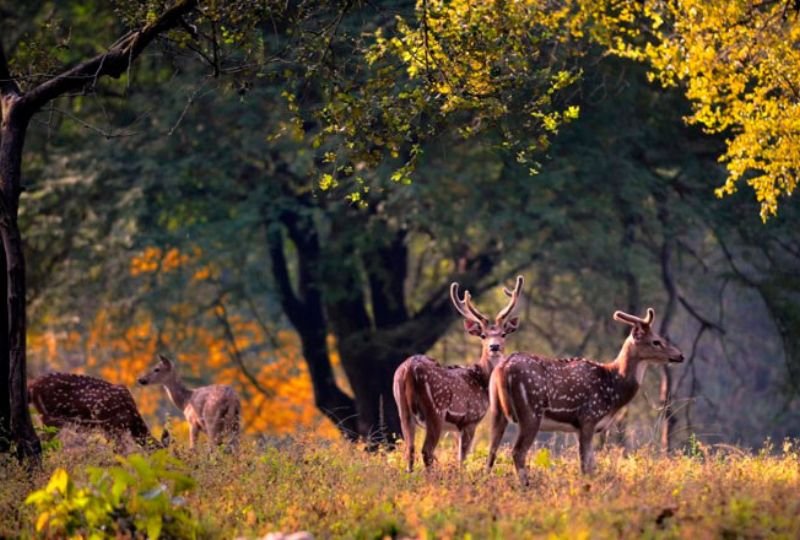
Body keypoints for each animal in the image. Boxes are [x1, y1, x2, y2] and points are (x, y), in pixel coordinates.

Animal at [394, 276, 524, 470]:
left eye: (503, 334)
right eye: (483, 335)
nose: (494, 347)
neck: (482, 380)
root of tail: (408, 370)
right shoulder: (470, 419)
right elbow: (462, 458)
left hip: (402, 408)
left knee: (409, 450)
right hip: (435, 411)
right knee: (426, 450)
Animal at [484, 308, 684, 486]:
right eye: (656, 341)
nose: (680, 355)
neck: (613, 388)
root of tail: (503, 369)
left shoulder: (579, 427)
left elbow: (591, 465)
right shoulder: (588, 417)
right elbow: (586, 466)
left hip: (496, 410)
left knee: (491, 450)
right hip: (531, 412)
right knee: (518, 452)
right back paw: (526, 486)